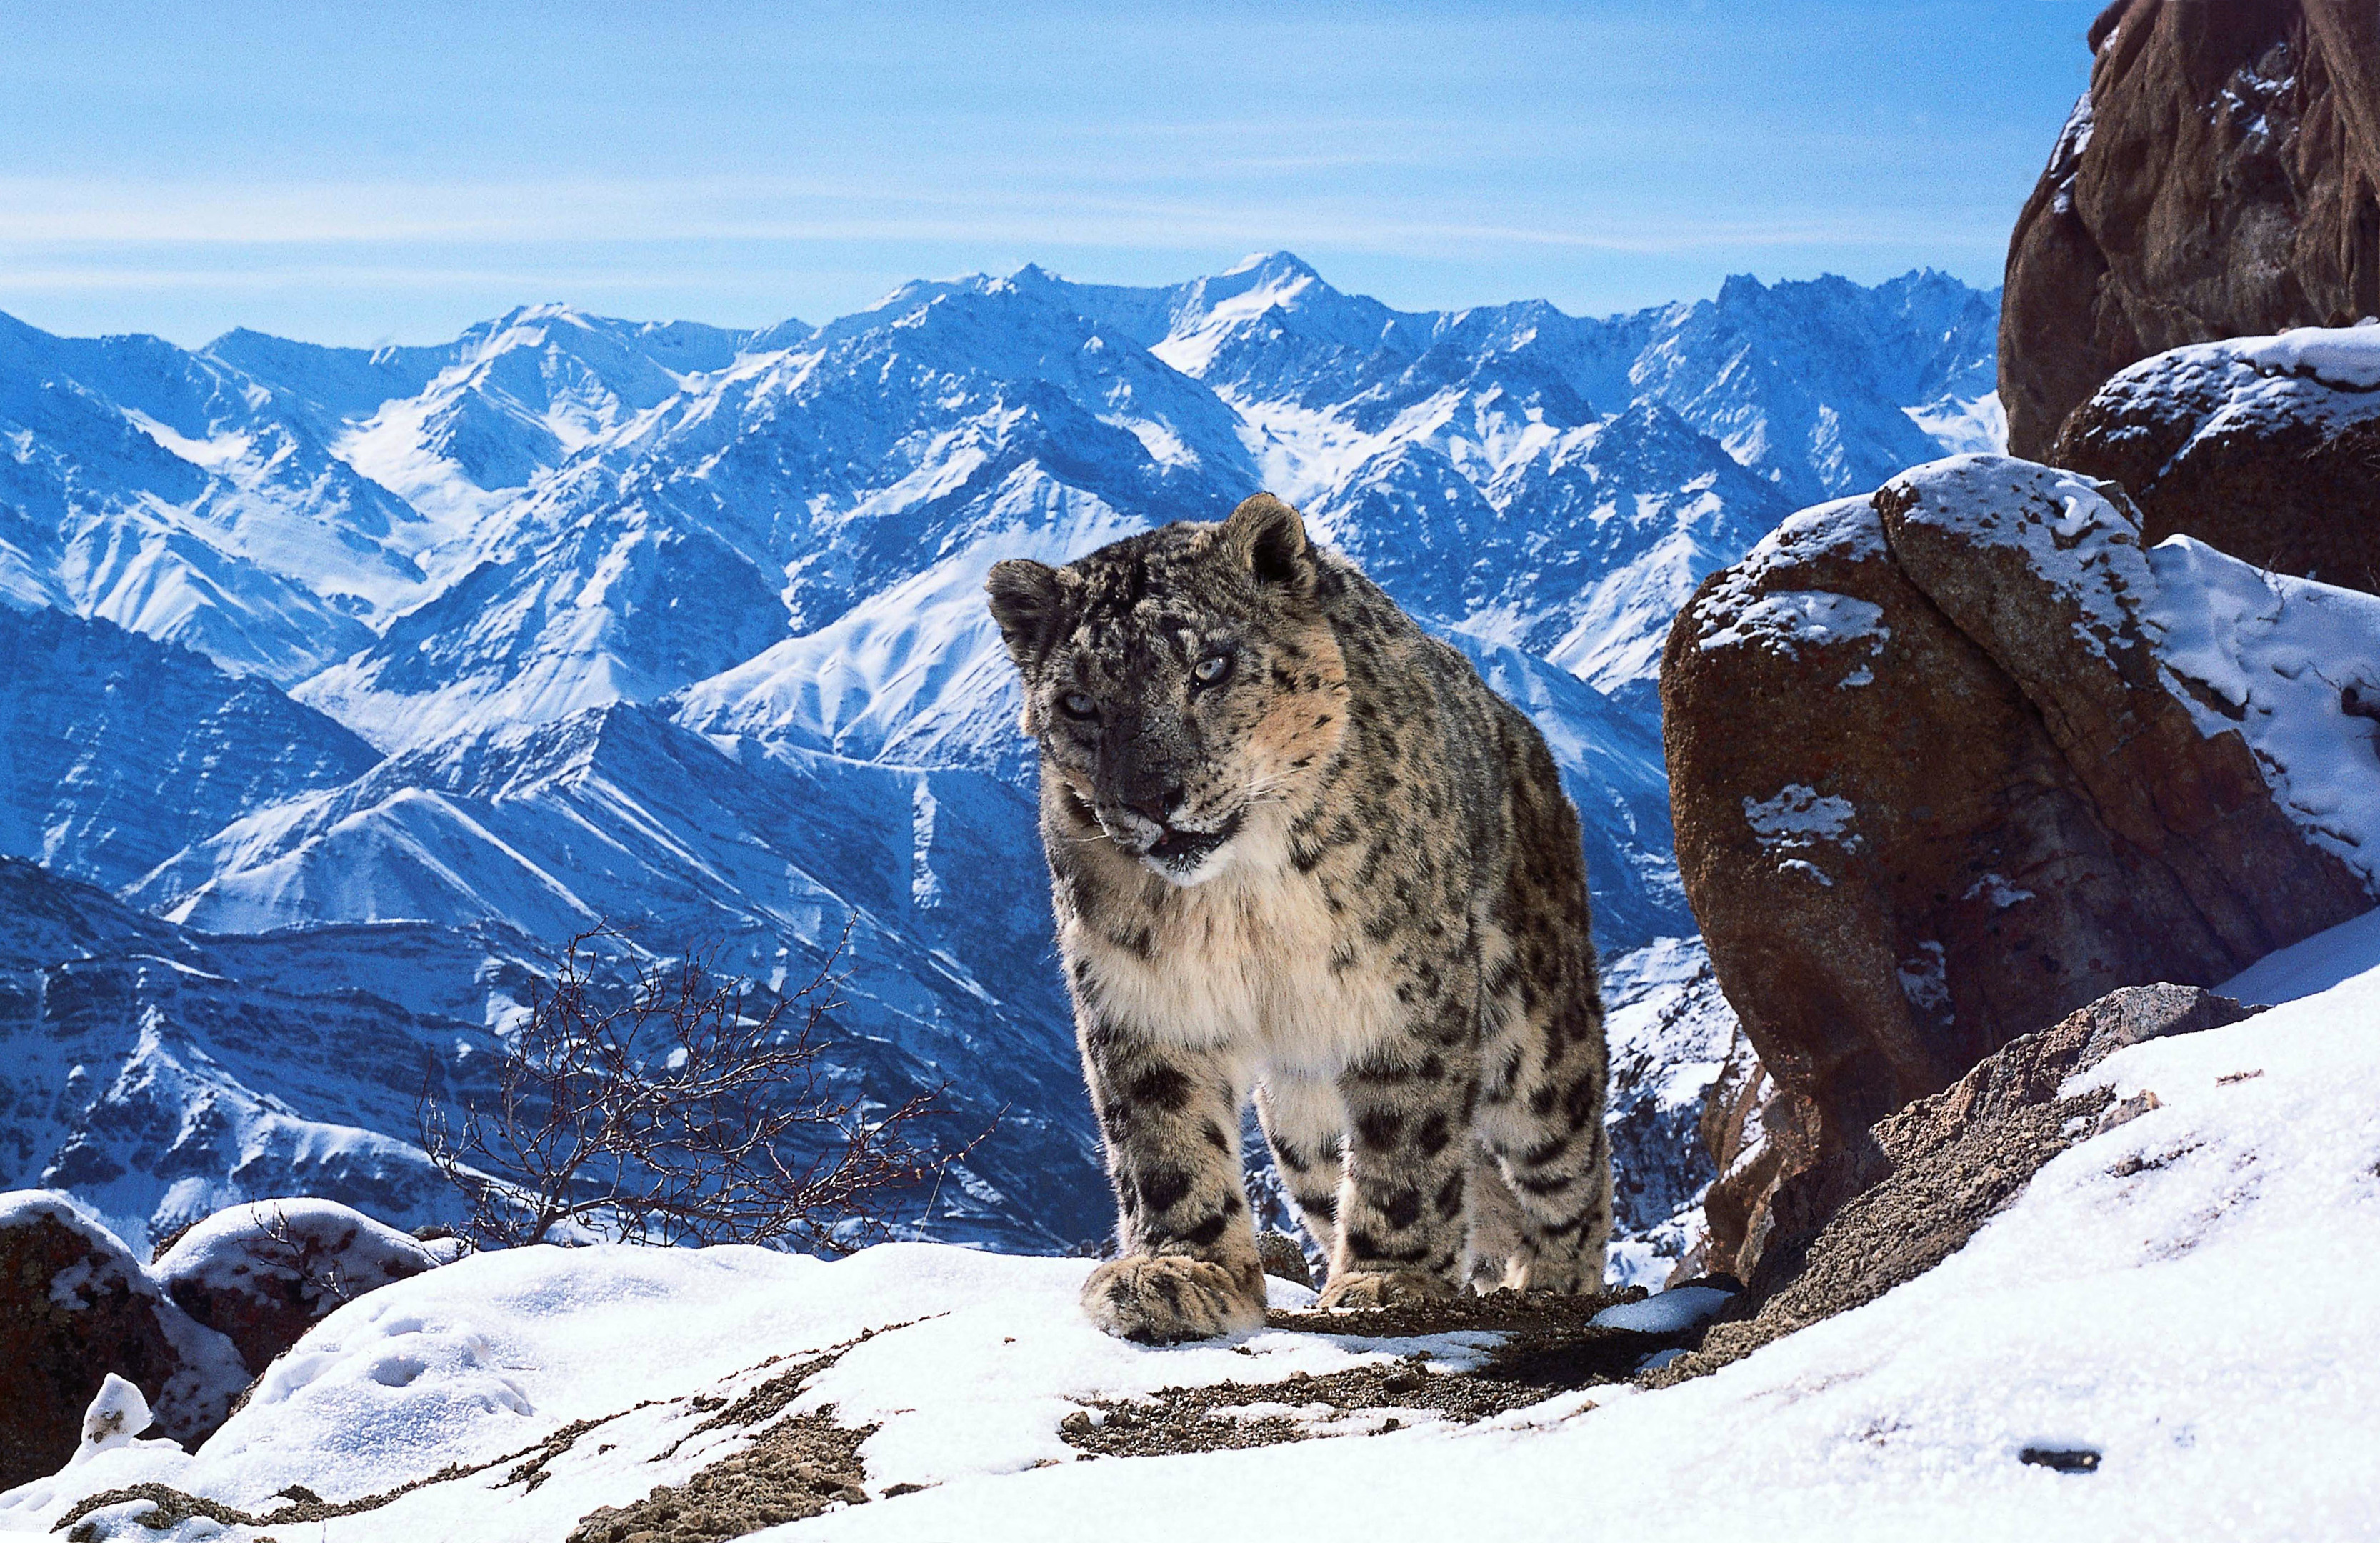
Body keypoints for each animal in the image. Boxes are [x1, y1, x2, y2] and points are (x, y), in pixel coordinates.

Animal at [985, 495, 1618, 1333]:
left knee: (1568, 1168)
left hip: (1538, 1038)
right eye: (1079, 704)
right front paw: (1179, 1270)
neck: (1239, 901)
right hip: (1300, 1127)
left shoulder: (1404, 996)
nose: (1152, 799)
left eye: (1209, 667)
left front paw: (1386, 1280)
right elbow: (1163, 1137)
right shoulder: (1140, 997)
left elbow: (1407, 1137)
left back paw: (1551, 1284)